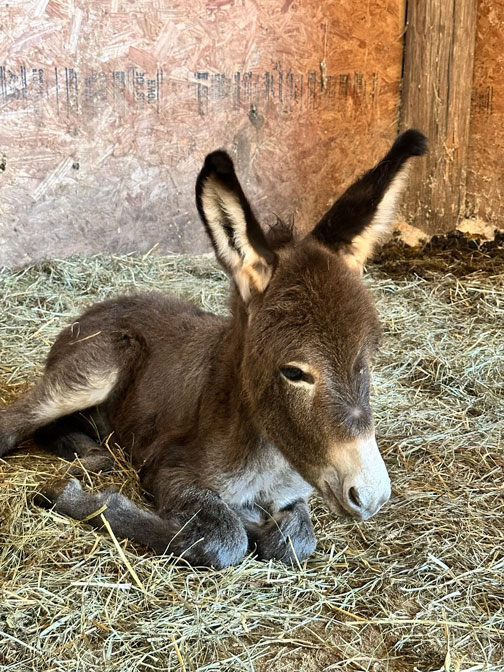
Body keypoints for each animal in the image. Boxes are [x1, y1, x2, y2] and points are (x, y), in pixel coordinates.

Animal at [0, 130, 426, 568]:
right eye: (294, 372)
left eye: (367, 361)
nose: (372, 497)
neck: (266, 454)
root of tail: (97, 308)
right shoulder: (169, 468)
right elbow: (225, 538)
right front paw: (74, 498)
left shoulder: (297, 492)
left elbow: (294, 541)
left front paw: (261, 523)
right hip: (93, 371)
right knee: (16, 421)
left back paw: (89, 451)